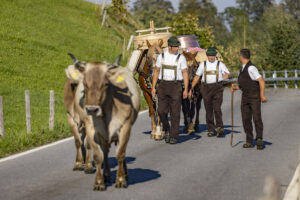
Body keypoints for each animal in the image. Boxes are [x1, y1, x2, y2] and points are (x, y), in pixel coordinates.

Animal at [67, 53, 140, 191]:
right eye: (85, 84)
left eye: (106, 84)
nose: (92, 109)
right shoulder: (92, 130)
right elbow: (98, 156)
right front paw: (99, 182)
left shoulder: (125, 127)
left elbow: (120, 154)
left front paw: (121, 180)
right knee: (105, 151)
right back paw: (106, 175)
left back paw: (125, 174)